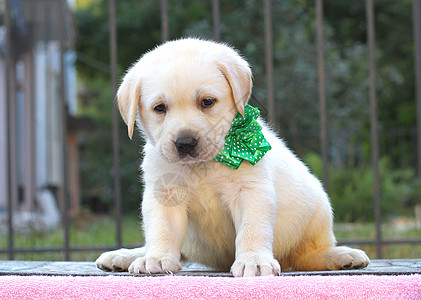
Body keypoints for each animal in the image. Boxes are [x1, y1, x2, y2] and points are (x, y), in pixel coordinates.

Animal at [96, 37, 368, 276]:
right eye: (159, 108)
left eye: (207, 102)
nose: (185, 143)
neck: (203, 165)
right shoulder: (166, 194)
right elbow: (162, 230)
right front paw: (158, 258)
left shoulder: (251, 191)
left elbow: (252, 230)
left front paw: (254, 261)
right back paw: (127, 255)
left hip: (318, 213)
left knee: (307, 255)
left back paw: (341, 255)